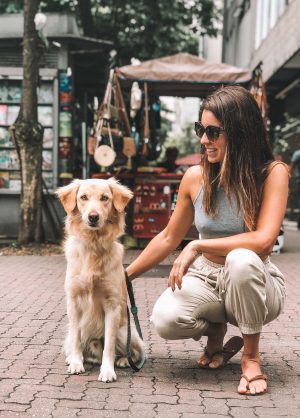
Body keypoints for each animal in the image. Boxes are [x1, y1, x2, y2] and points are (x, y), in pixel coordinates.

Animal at [57, 177, 145, 382]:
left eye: (105, 198)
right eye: (83, 197)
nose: (93, 217)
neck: (93, 245)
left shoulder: (112, 305)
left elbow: (110, 347)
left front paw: (108, 371)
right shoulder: (73, 302)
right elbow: (76, 338)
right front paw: (76, 363)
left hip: (125, 331)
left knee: (135, 351)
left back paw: (123, 360)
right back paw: (74, 358)